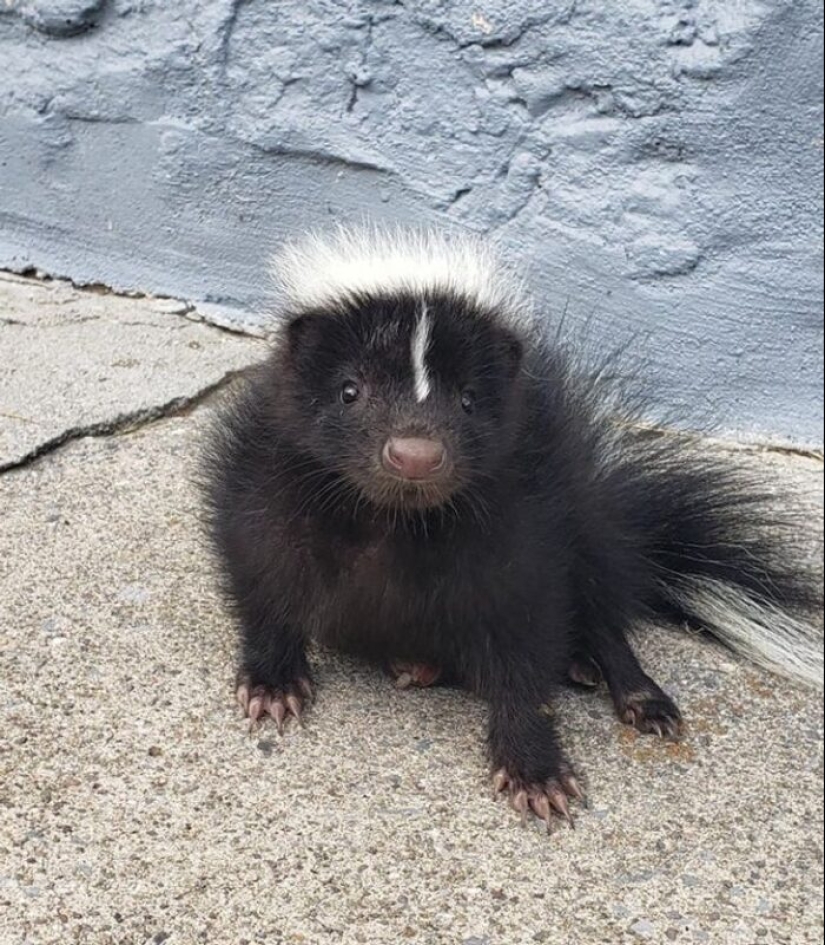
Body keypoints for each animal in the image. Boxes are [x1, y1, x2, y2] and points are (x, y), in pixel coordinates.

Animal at [203, 225, 820, 828]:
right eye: (350, 391)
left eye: (469, 400)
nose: (415, 455)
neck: (397, 518)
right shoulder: (270, 476)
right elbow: (261, 568)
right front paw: (272, 684)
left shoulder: (526, 510)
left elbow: (523, 636)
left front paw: (534, 769)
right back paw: (424, 663)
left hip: (586, 517)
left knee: (601, 606)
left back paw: (631, 689)